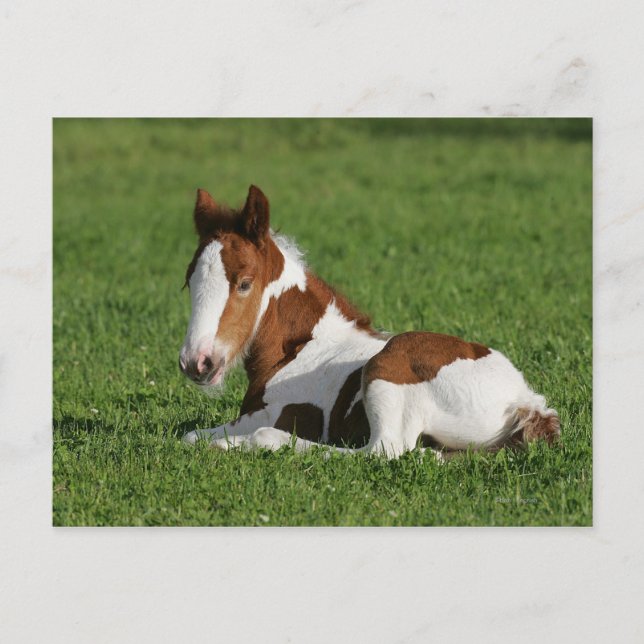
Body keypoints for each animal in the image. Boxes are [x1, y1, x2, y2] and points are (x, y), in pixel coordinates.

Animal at [179, 185, 560, 458]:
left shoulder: (271, 413)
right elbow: (189, 436)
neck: (301, 348)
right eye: (188, 281)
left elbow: (198, 435)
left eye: (244, 283)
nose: (197, 363)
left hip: (388, 365)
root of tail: (525, 401)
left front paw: (229, 443)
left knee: (382, 450)